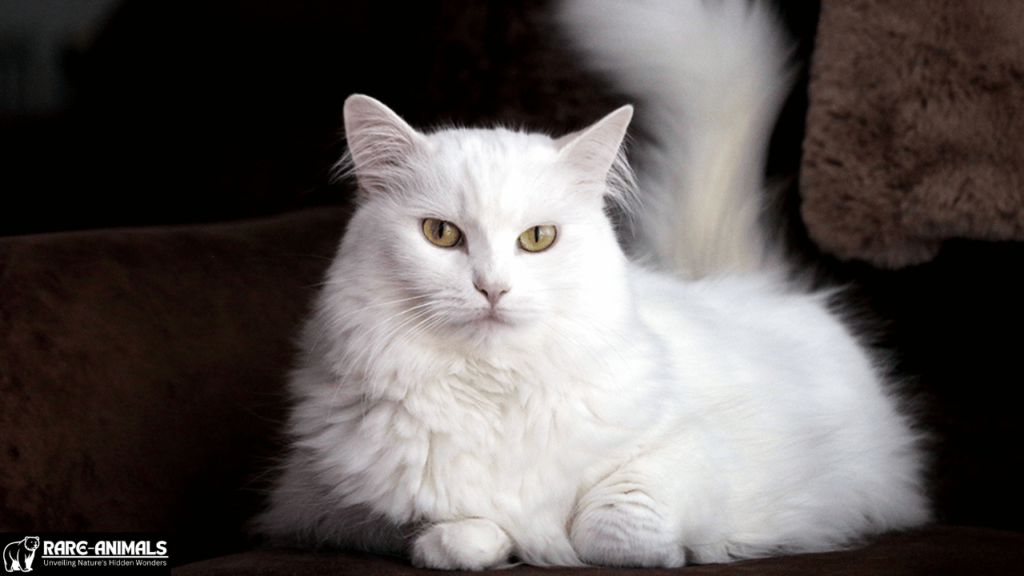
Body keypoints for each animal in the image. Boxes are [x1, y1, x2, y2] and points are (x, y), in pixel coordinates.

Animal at [256, 0, 929, 565]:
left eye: (537, 239)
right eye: (442, 234)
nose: (492, 288)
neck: (491, 392)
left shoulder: (698, 451)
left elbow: (612, 526)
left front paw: (673, 552)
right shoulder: (317, 506)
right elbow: (451, 530)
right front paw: (479, 542)